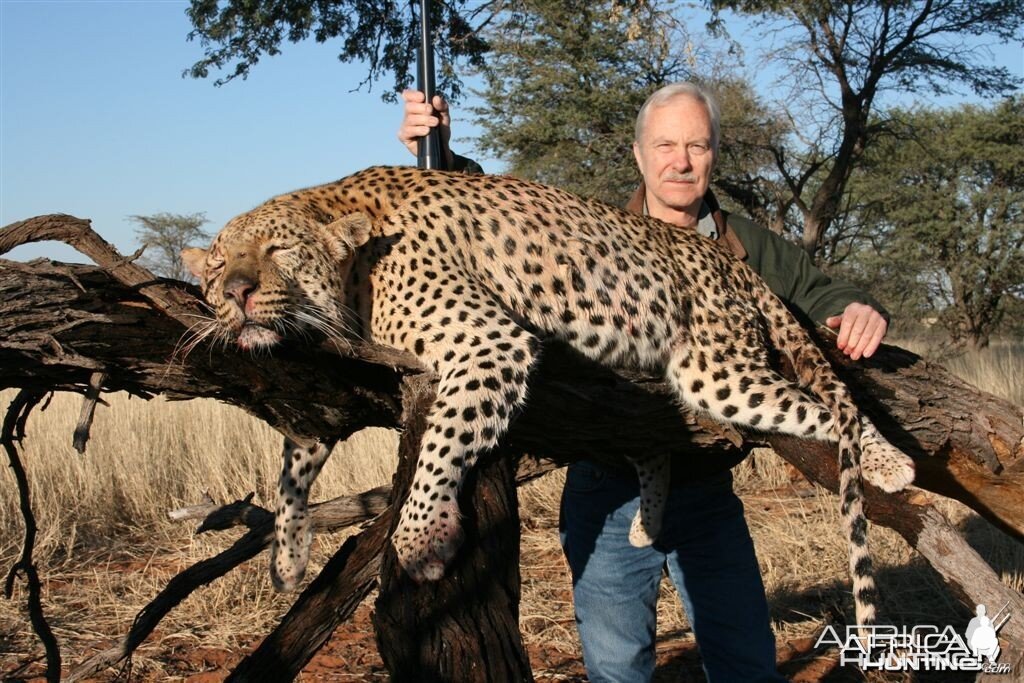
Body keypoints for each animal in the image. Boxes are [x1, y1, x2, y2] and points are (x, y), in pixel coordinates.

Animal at [182, 163, 913, 626]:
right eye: (218, 265)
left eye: (278, 251)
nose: (237, 291)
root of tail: (731, 261)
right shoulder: (319, 412)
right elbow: (292, 466)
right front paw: (286, 559)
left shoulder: (489, 343)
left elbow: (441, 443)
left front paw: (419, 538)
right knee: (657, 443)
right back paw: (648, 522)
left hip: (718, 369)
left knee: (832, 414)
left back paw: (891, 462)